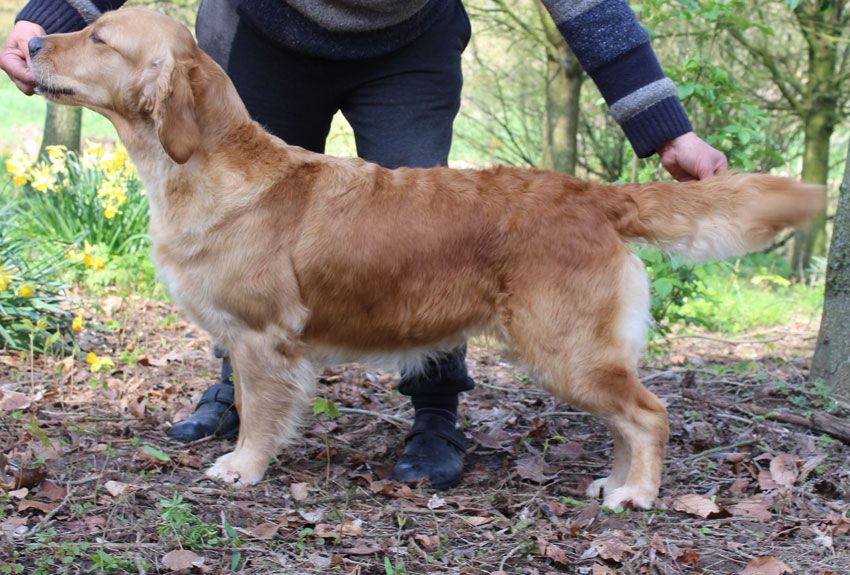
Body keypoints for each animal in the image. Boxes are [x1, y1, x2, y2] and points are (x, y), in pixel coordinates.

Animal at [29, 7, 824, 508]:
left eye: (99, 38)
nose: (31, 45)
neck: (206, 167)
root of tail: (592, 192)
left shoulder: (262, 340)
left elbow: (259, 414)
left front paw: (242, 468)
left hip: (565, 350)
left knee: (649, 415)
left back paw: (638, 493)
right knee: (627, 419)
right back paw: (615, 481)